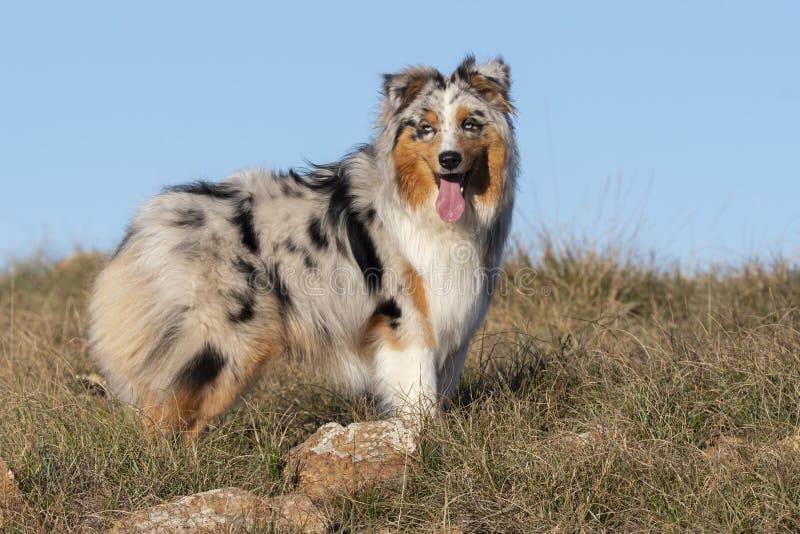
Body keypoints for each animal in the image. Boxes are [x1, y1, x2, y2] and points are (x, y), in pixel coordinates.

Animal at [87, 56, 520, 442]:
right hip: (223, 344)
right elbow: (419, 398)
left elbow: (437, 394)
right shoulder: (405, 322)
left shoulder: (453, 328)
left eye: (469, 124)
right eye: (426, 128)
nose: (449, 159)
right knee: (167, 420)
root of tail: (149, 222)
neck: (426, 209)